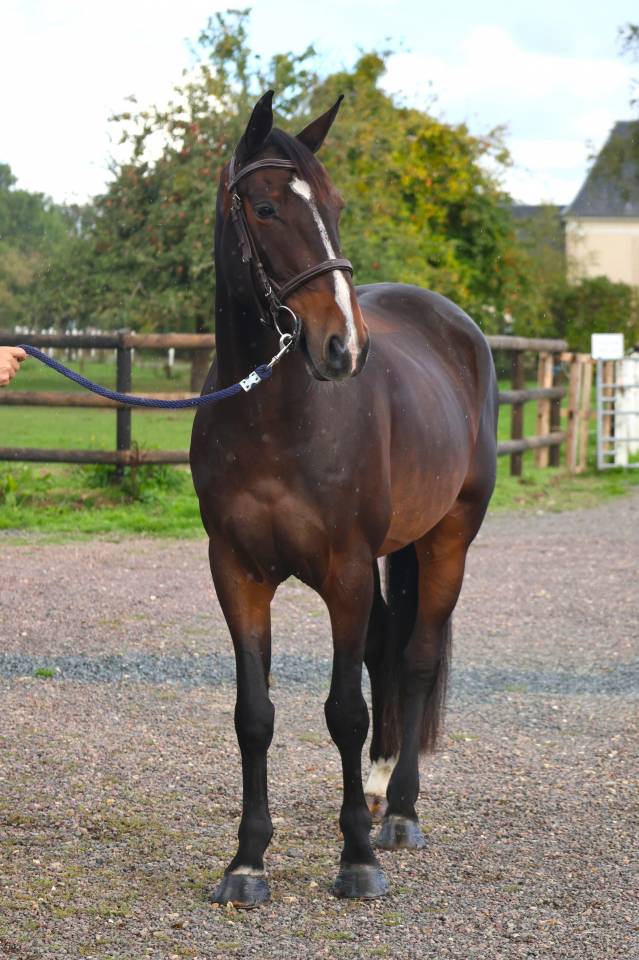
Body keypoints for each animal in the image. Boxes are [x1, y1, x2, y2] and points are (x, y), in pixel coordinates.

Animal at [190, 91, 497, 907]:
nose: (344, 348)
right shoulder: (236, 572)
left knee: (415, 657)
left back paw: (398, 813)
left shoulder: (346, 570)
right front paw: (247, 862)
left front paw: (357, 856)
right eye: (266, 207)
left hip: (447, 538)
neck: (275, 419)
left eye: (333, 204)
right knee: (387, 649)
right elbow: (254, 714)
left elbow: (343, 711)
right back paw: (379, 787)